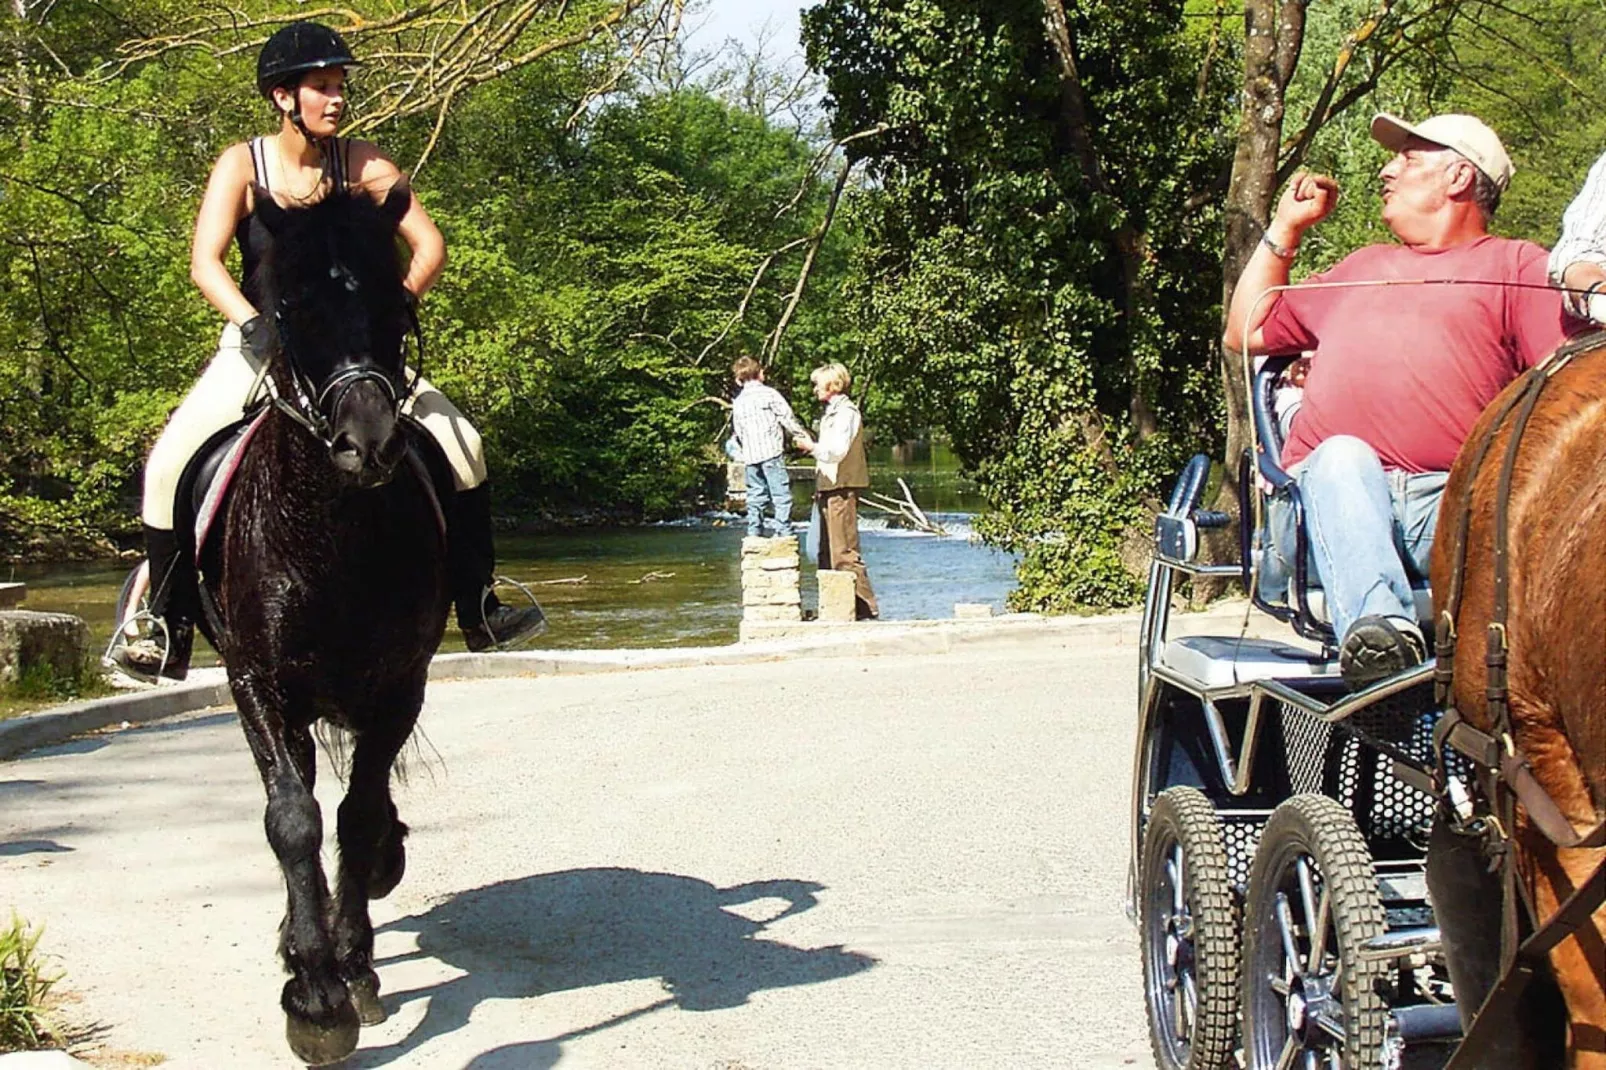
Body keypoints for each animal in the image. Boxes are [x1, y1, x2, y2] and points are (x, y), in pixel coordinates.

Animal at [203, 183, 452, 1060]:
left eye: (394, 302)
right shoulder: (255, 681)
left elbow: (359, 815)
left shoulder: (400, 686)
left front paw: (356, 969)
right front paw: (315, 998)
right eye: (291, 308)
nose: (367, 443)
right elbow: (293, 820)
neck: (331, 535)